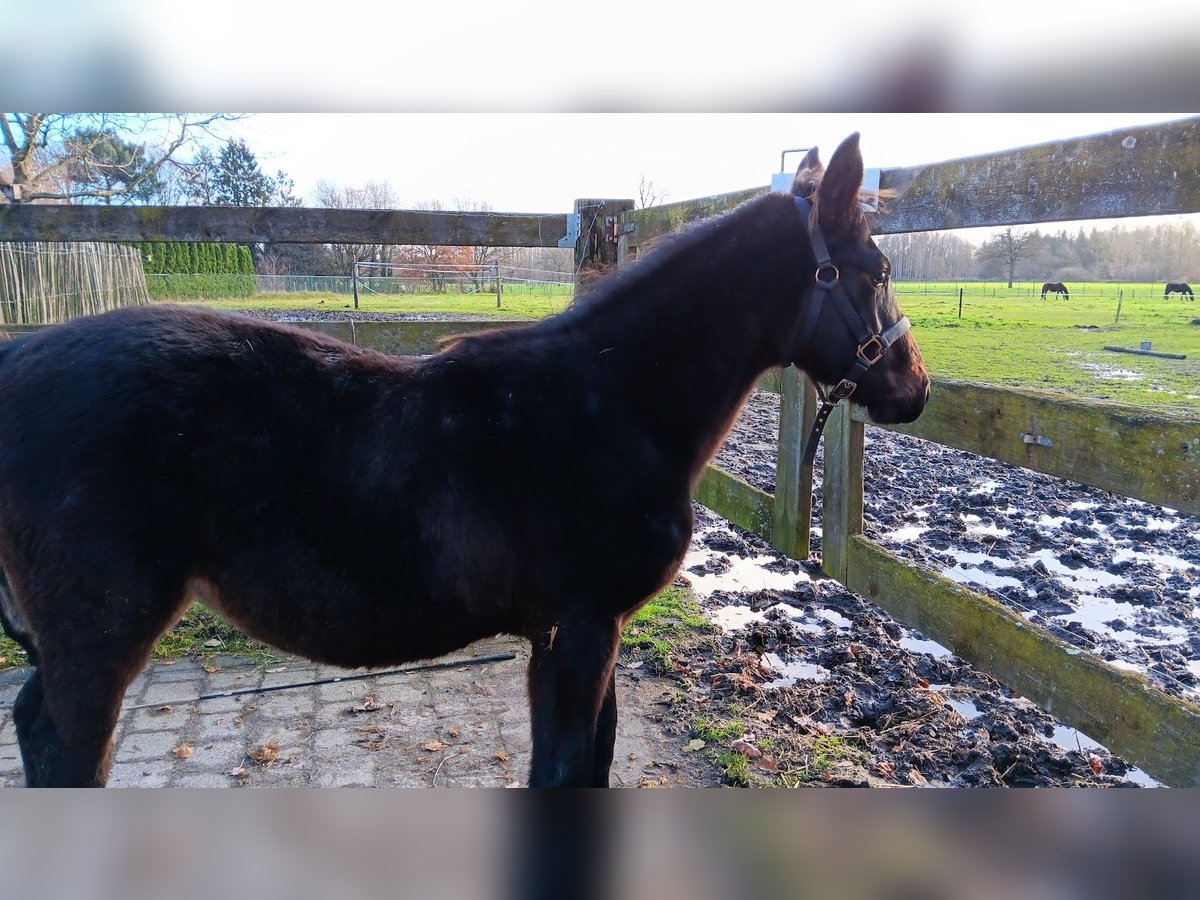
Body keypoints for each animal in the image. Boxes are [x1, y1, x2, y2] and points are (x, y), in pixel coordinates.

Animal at [0, 130, 926, 787]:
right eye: (877, 269)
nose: (914, 388)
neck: (613, 404)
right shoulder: (579, 630)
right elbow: (564, 773)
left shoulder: (583, 634)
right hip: (100, 636)